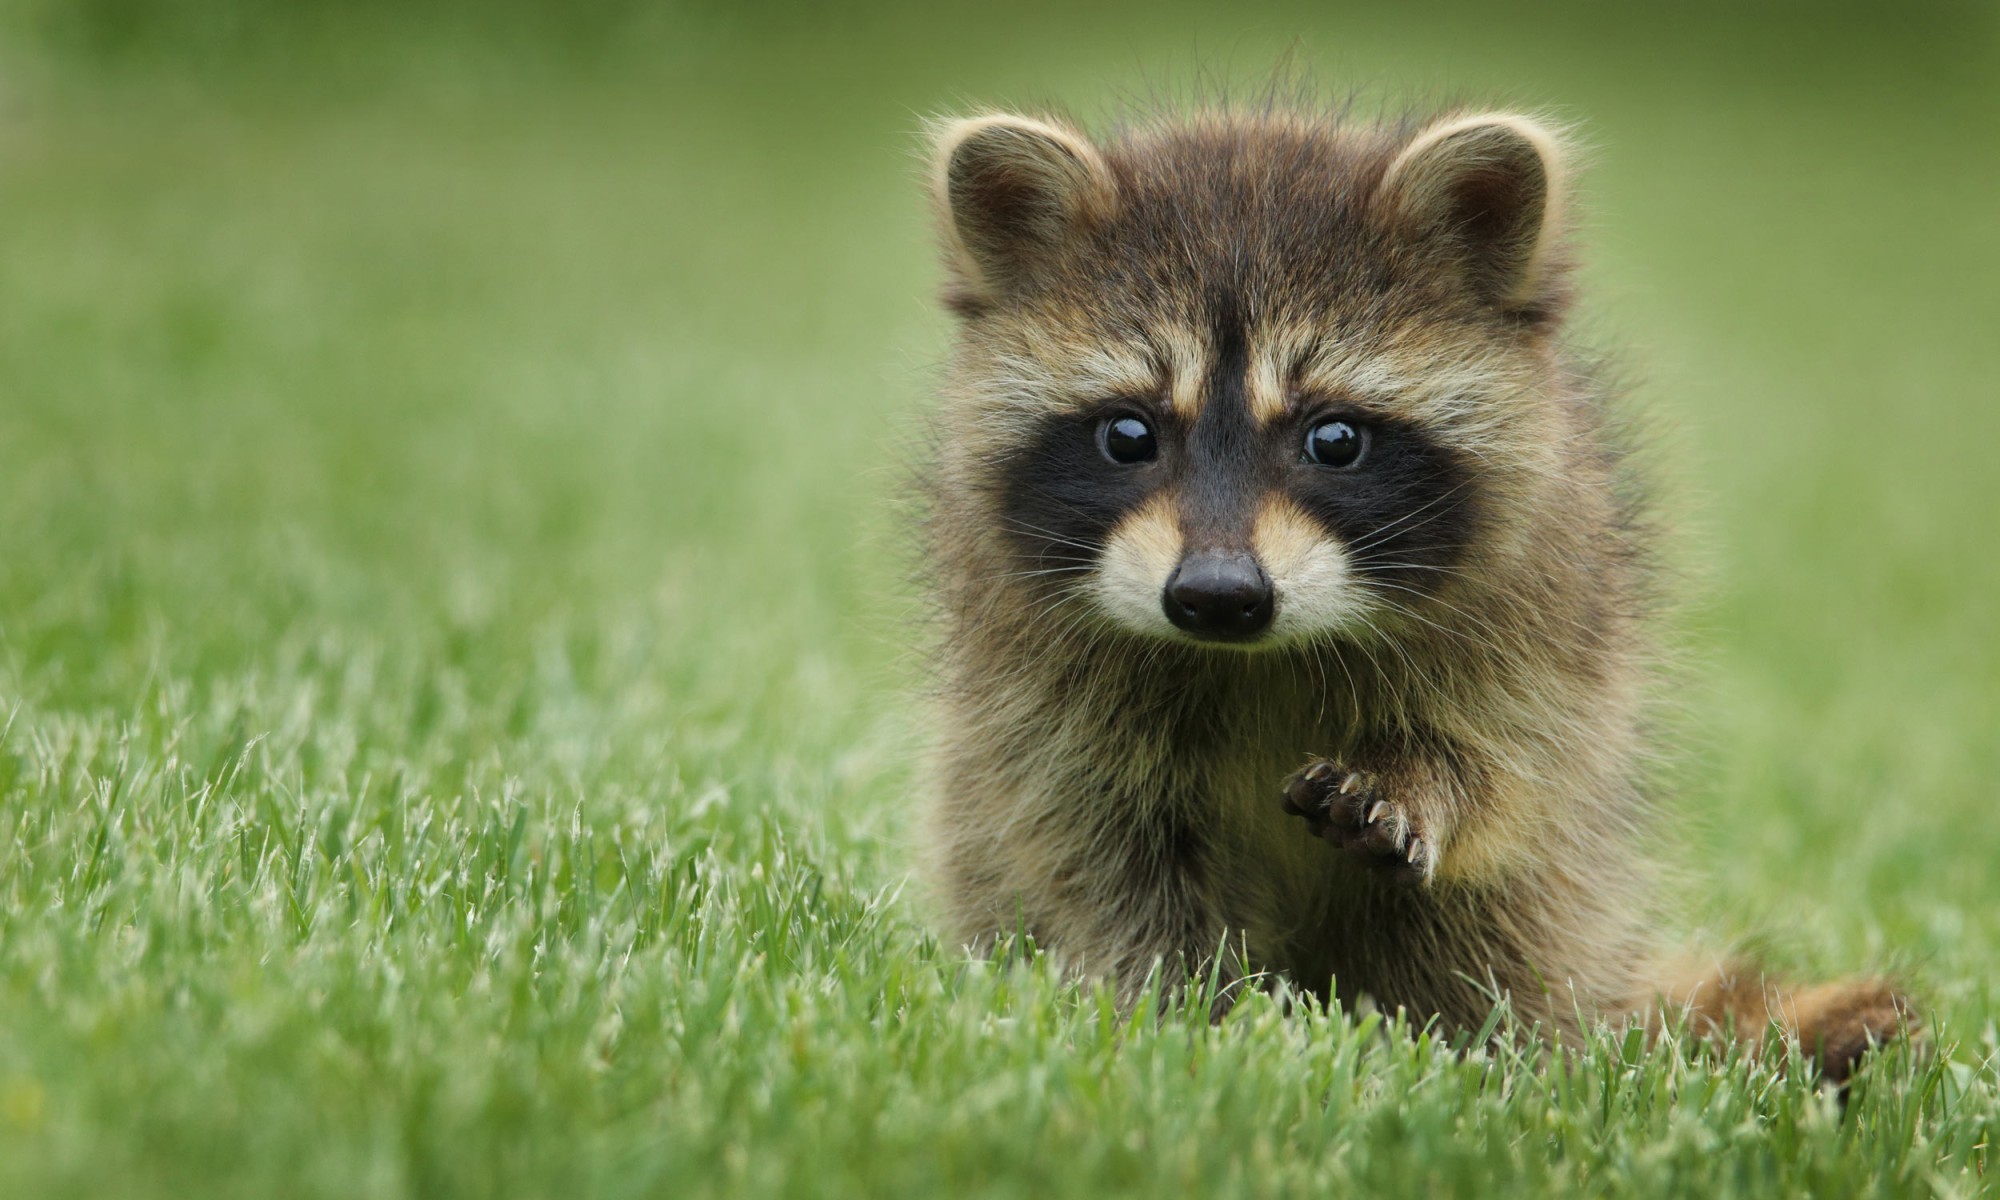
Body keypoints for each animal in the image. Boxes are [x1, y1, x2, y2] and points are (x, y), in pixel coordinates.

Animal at [916, 101, 1912, 1080]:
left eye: (1334, 440)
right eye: (1128, 435)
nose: (1218, 595)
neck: (1257, 656)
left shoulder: (1547, 607)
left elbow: (1508, 763)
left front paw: (1423, 781)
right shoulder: (1036, 685)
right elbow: (1094, 848)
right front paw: (1185, 1013)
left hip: (1567, 897)